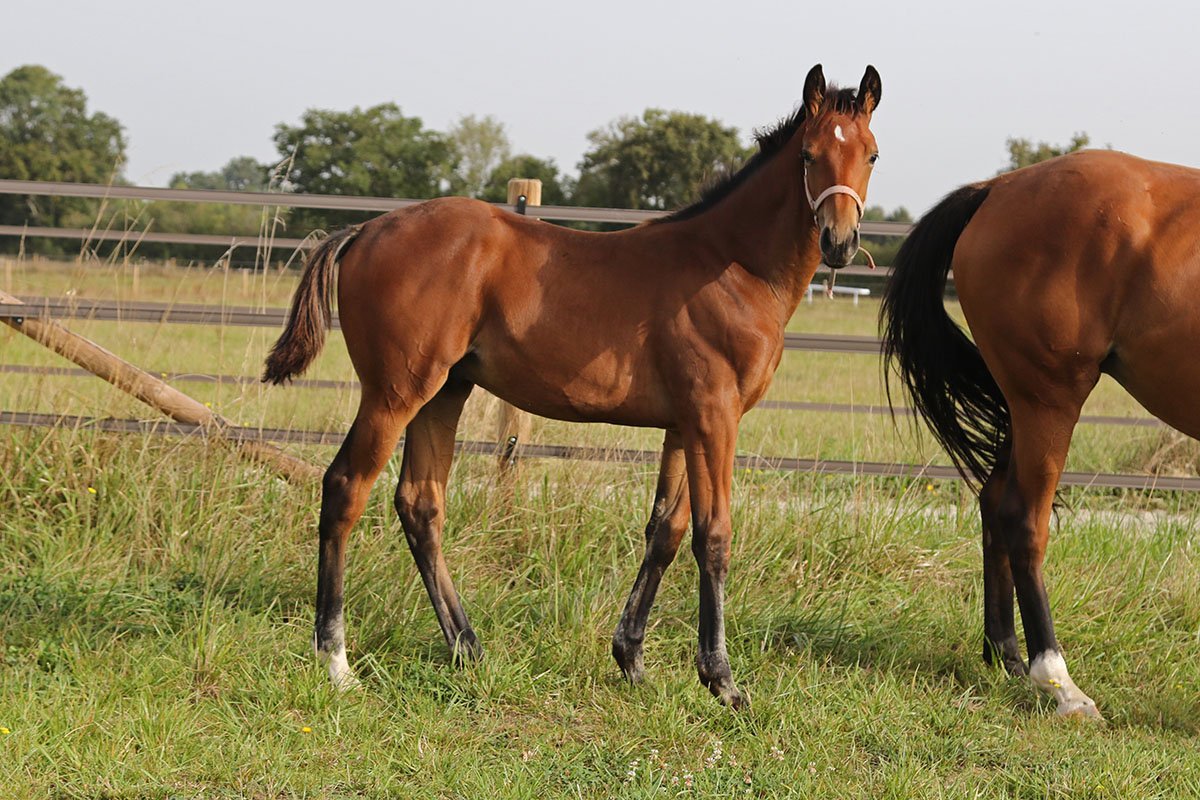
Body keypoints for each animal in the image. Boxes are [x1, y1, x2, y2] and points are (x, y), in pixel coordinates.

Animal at [265, 64, 883, 705]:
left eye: (871, 154)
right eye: (809, 155)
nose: (839, 241)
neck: (733, 265)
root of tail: (366, 229)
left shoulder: (684, 424)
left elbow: (665, 531)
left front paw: (632, 659)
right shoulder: (716, 417)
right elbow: (713, 537)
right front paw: (722, 681)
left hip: (443, 393)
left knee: (420, 504)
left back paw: (468, 649)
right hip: (394, 393)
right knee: (345, 489)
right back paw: (337, 660)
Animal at [883, 148, 1200, 719]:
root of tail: (997, 187)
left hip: (1024, 406)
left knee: (993, 502)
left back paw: (1006, 653)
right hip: (1049, 402)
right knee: (1023, 520)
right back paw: (1057, 681)